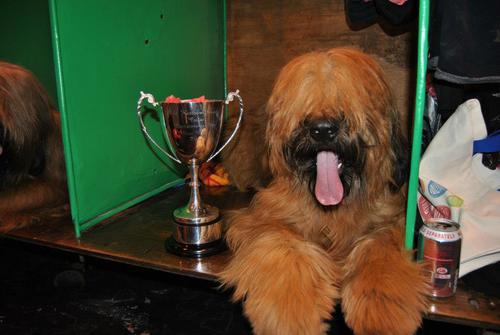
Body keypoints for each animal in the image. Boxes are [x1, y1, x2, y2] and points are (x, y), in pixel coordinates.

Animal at [221, 48, 428, 335]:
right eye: (303, 99)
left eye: (348, 98)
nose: (322, 129)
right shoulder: (262, 216)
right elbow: (281, 242)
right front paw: (291, 313)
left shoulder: (393, 216)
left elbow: (379, 245)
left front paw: (381, 306)